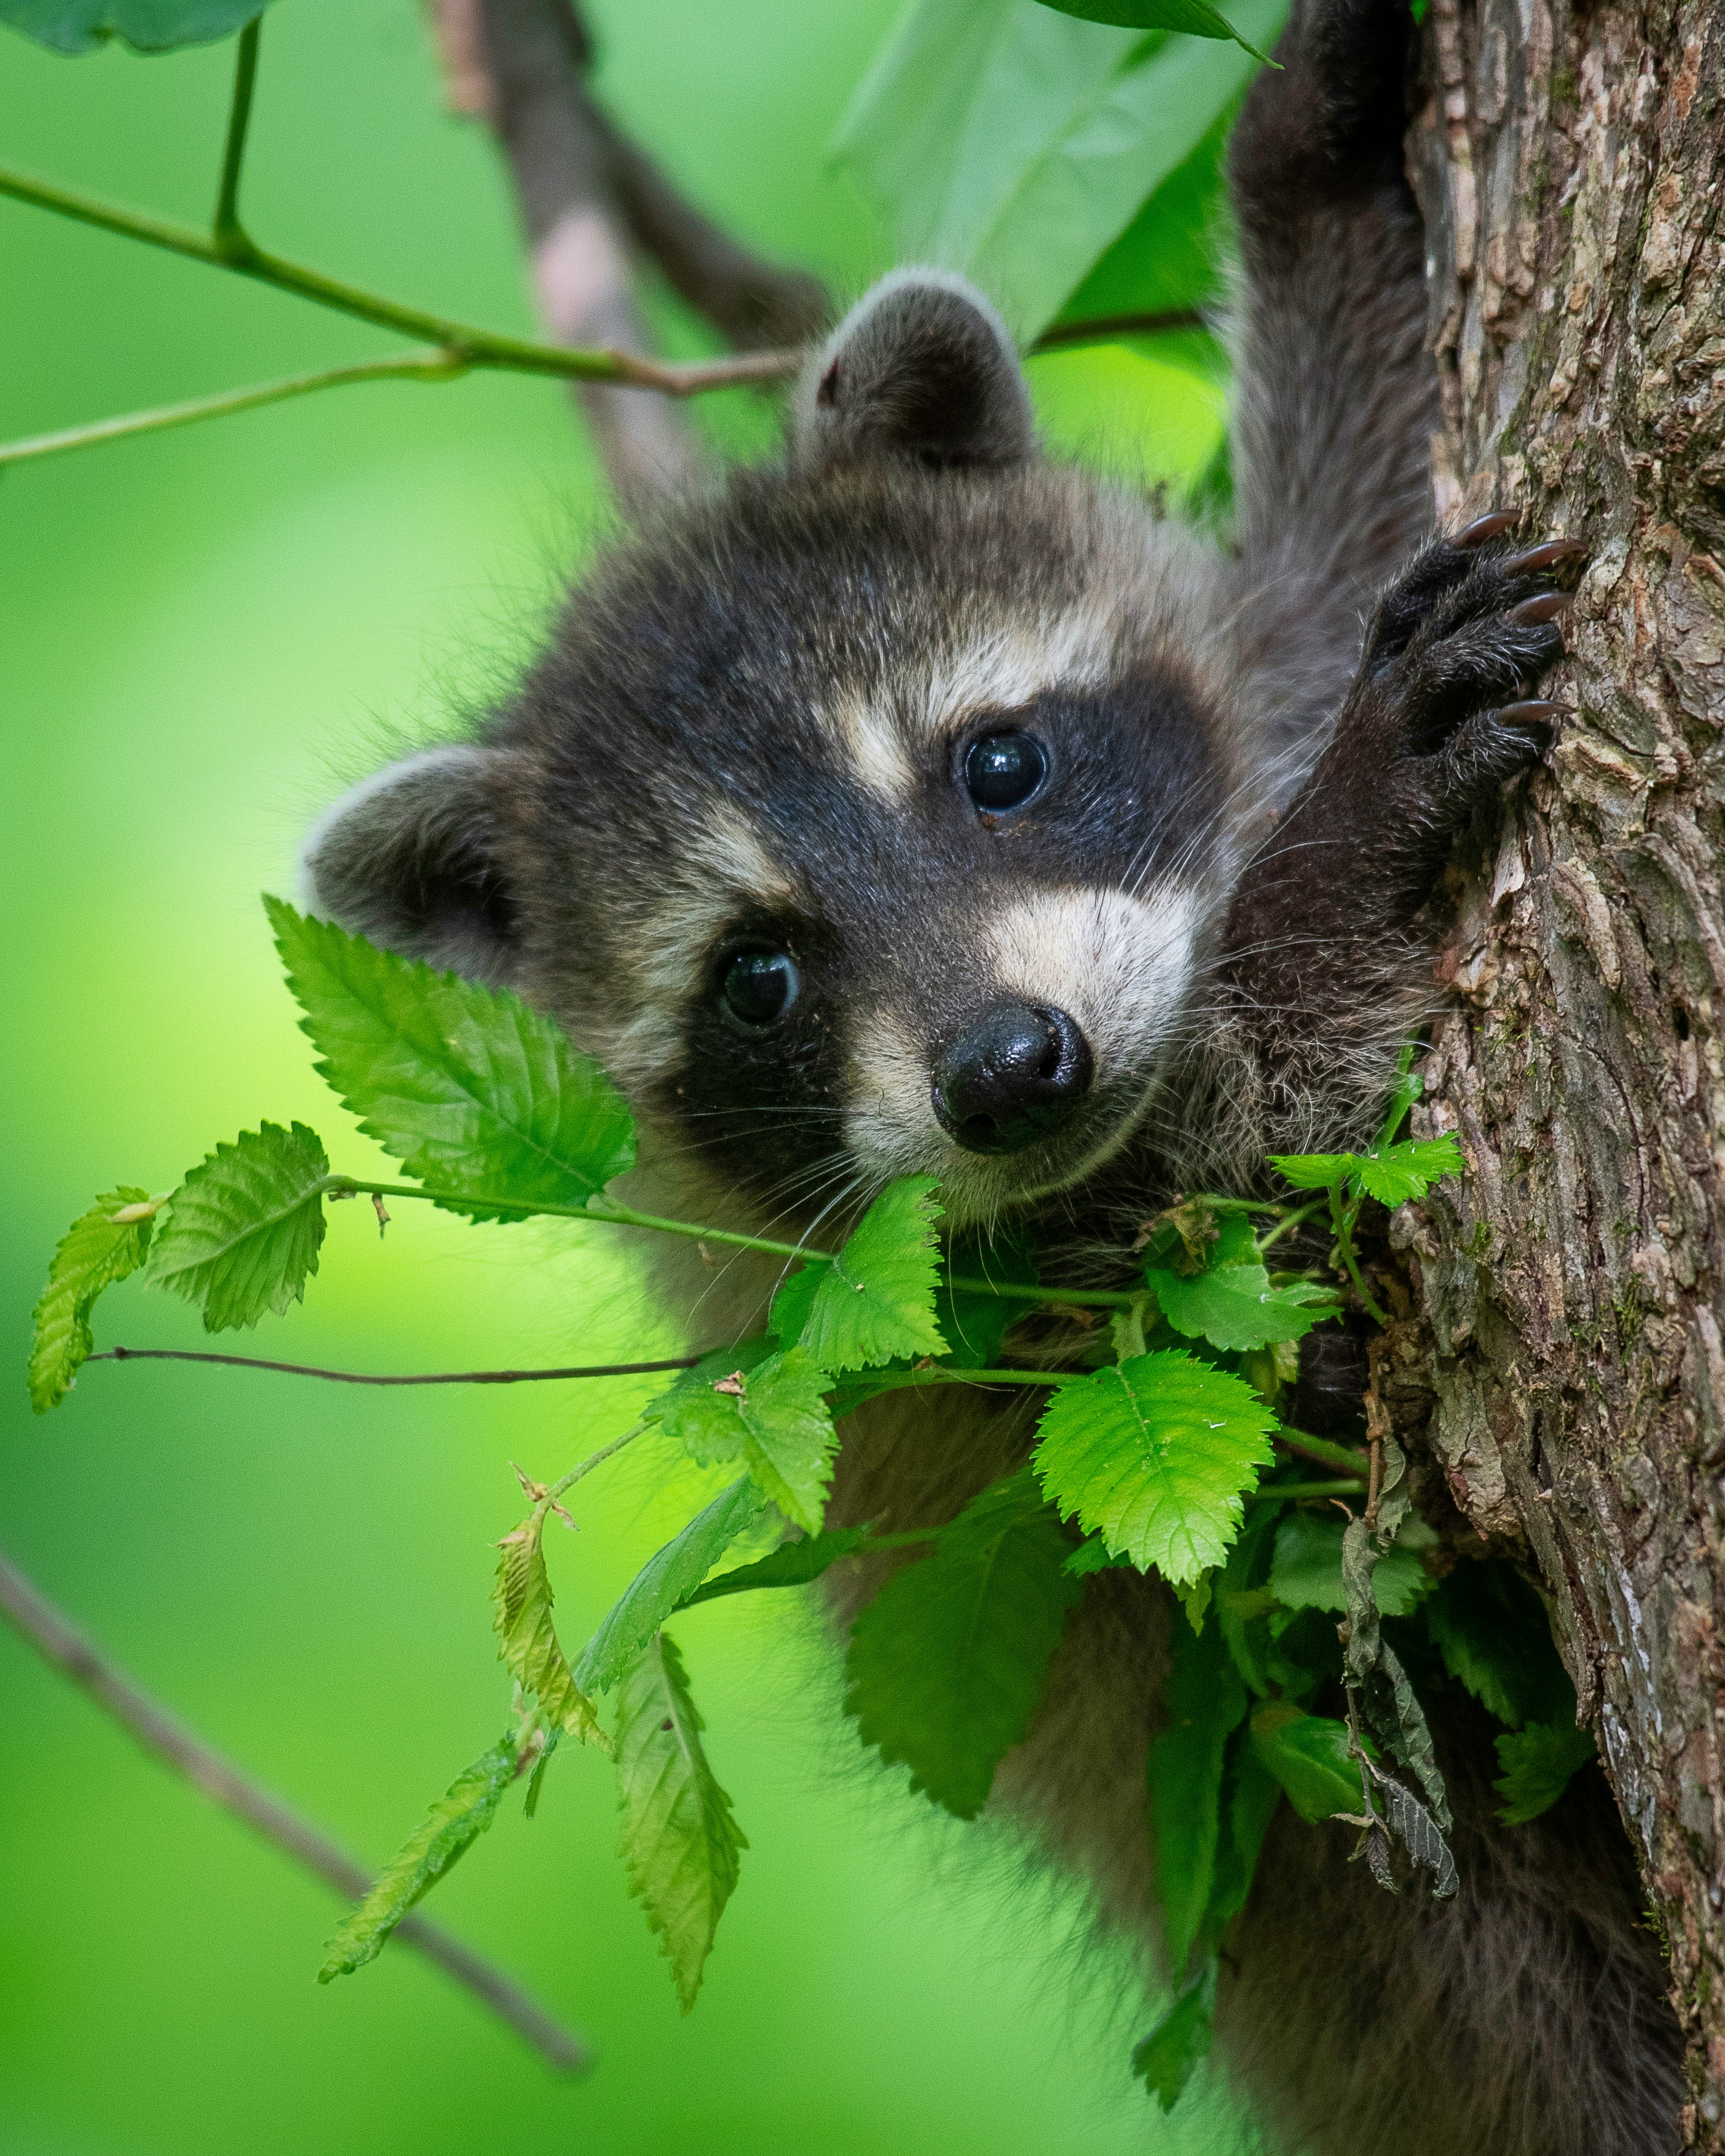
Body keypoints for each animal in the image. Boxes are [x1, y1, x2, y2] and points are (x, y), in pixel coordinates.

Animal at [300, 0, 1683, 2147]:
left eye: (1000, 763)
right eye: (760, 975)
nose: (1014, 1071)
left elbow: (1337, 535)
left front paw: (1307, 154)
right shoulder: (972, 1328)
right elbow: (1249, 1185)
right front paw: (1344, 839)